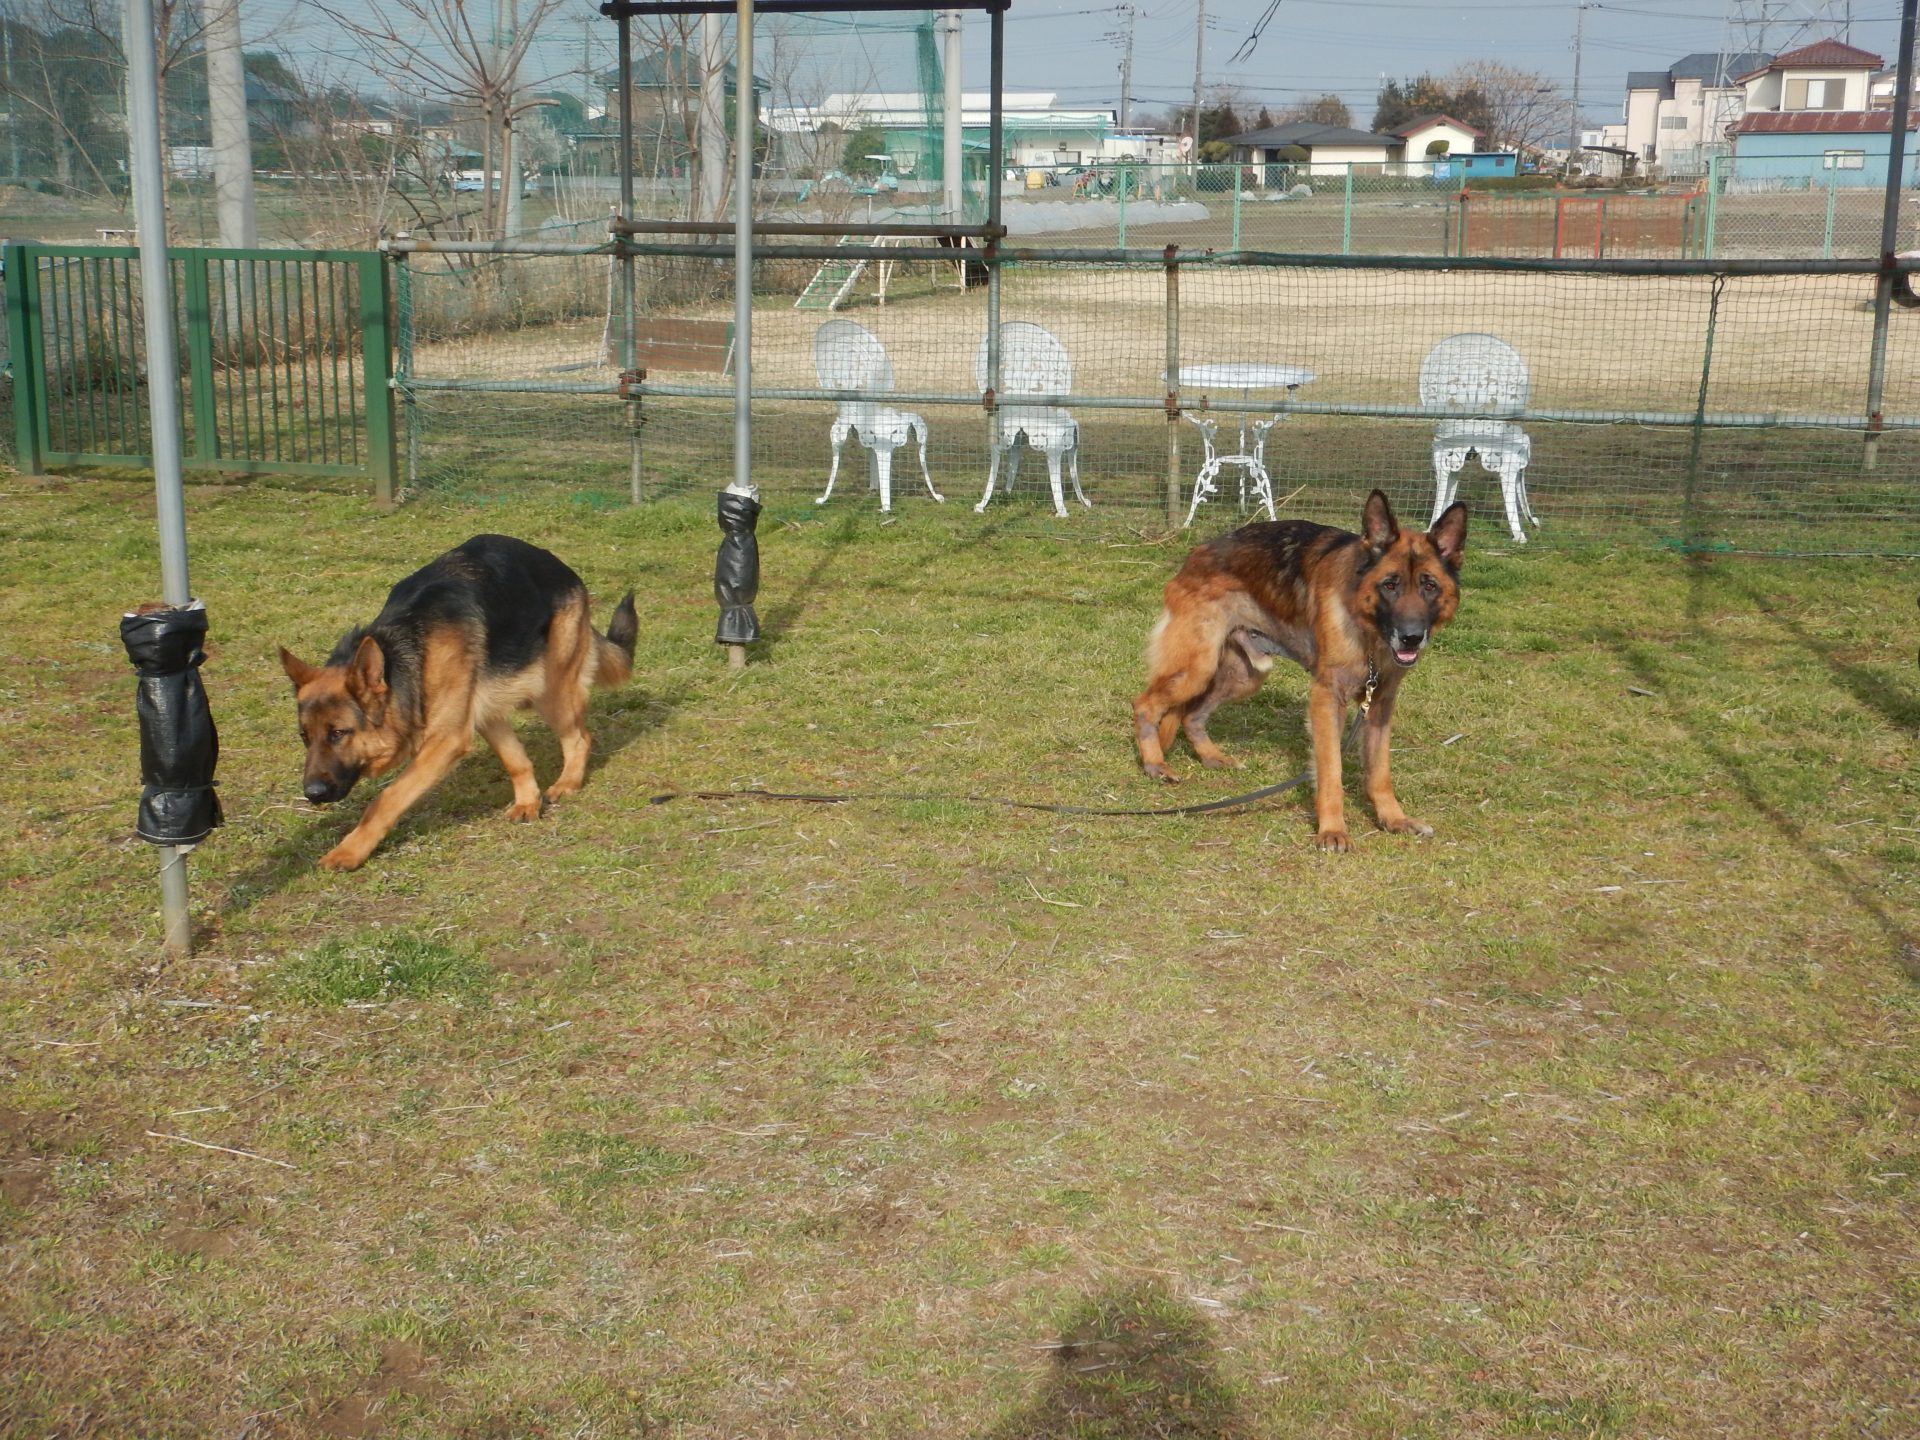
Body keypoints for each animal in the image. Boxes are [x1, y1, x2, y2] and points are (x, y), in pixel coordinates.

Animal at [278, 537, 637, 875]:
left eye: (338, 733)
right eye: (305, 737)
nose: (312, 794)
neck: (407, 652)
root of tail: (559, 566)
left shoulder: (446, 741)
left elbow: (386, 798)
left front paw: (349, 851)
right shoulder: (479, 715)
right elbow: (516, 761)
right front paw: (528, 803)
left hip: (551, 689)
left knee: (579, 738)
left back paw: (568, 783)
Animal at [1128, 491, 1459, 852]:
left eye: (1429, 586)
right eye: (1390, 585)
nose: (1412, 637)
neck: (1367, 630)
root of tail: (1197, 553)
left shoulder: (1380, 705)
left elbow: (1379, 772)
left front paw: (1393, 820)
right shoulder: (1327, 701)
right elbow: (1331, 772)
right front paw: (1332, 830)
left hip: (1243, 677)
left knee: (1191, 715)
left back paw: (1213, 758)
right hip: (1196, 669)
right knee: (1145, 705)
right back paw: (1155, 765)